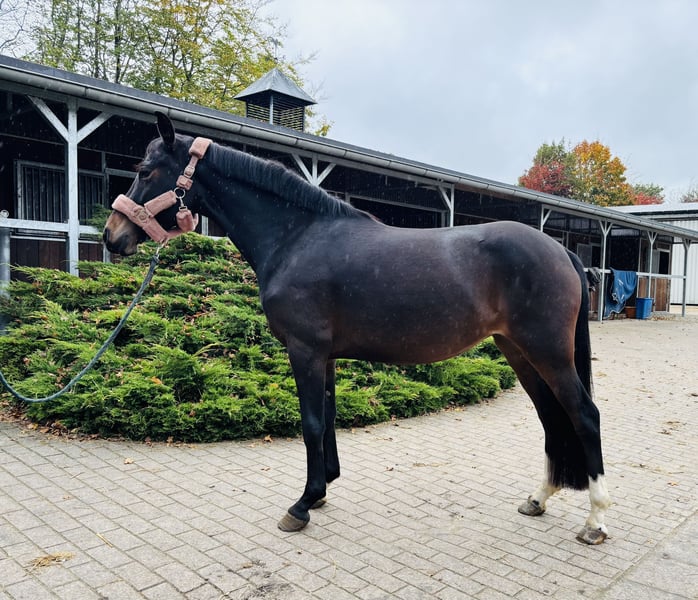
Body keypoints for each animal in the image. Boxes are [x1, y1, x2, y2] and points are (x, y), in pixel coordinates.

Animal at [103, 112, 611, 545]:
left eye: (145, 170)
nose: (112, 235)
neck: (296, 237)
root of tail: (561, 250)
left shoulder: (304, 351)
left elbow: (310, 424)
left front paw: (302, 505)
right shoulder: (323, 356)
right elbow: (326, 419)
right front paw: (322, 491)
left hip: (547, 353)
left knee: (585, 416)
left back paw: (595, 521)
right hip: (519, 352)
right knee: (551, 417)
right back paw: (538, 499)